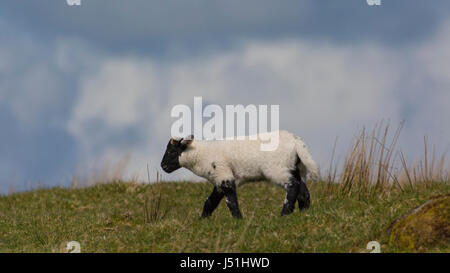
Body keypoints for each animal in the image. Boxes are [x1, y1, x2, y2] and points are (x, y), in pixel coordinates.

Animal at [160, 129, 318, 217]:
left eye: (171, 151)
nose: (163, 166)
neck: (199, 155)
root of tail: (296, 142)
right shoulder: (219, 180)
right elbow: (209, 202)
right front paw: (202, 220)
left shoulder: (224, 175)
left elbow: (231, 202)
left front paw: (238, 220)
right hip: (296, 167)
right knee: (303, 191)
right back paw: (304, 213)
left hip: (277, 169)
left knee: (293, 186)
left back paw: (284, 214)